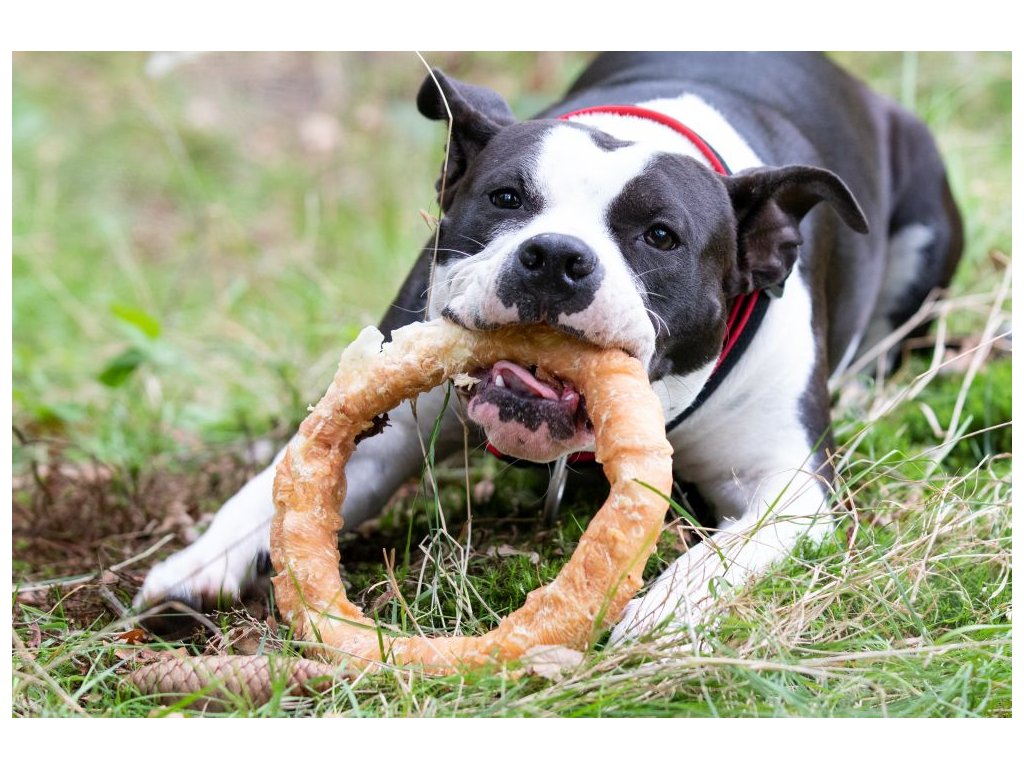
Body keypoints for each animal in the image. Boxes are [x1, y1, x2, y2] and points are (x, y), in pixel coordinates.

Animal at [136, 52, 962, 644]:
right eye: (506, 198)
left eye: (660, 236)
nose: (558, 256)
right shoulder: (387, 423)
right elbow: (278, 486)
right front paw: (200, 561)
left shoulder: (791, 486)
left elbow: (728, 550)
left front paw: (670, 606)